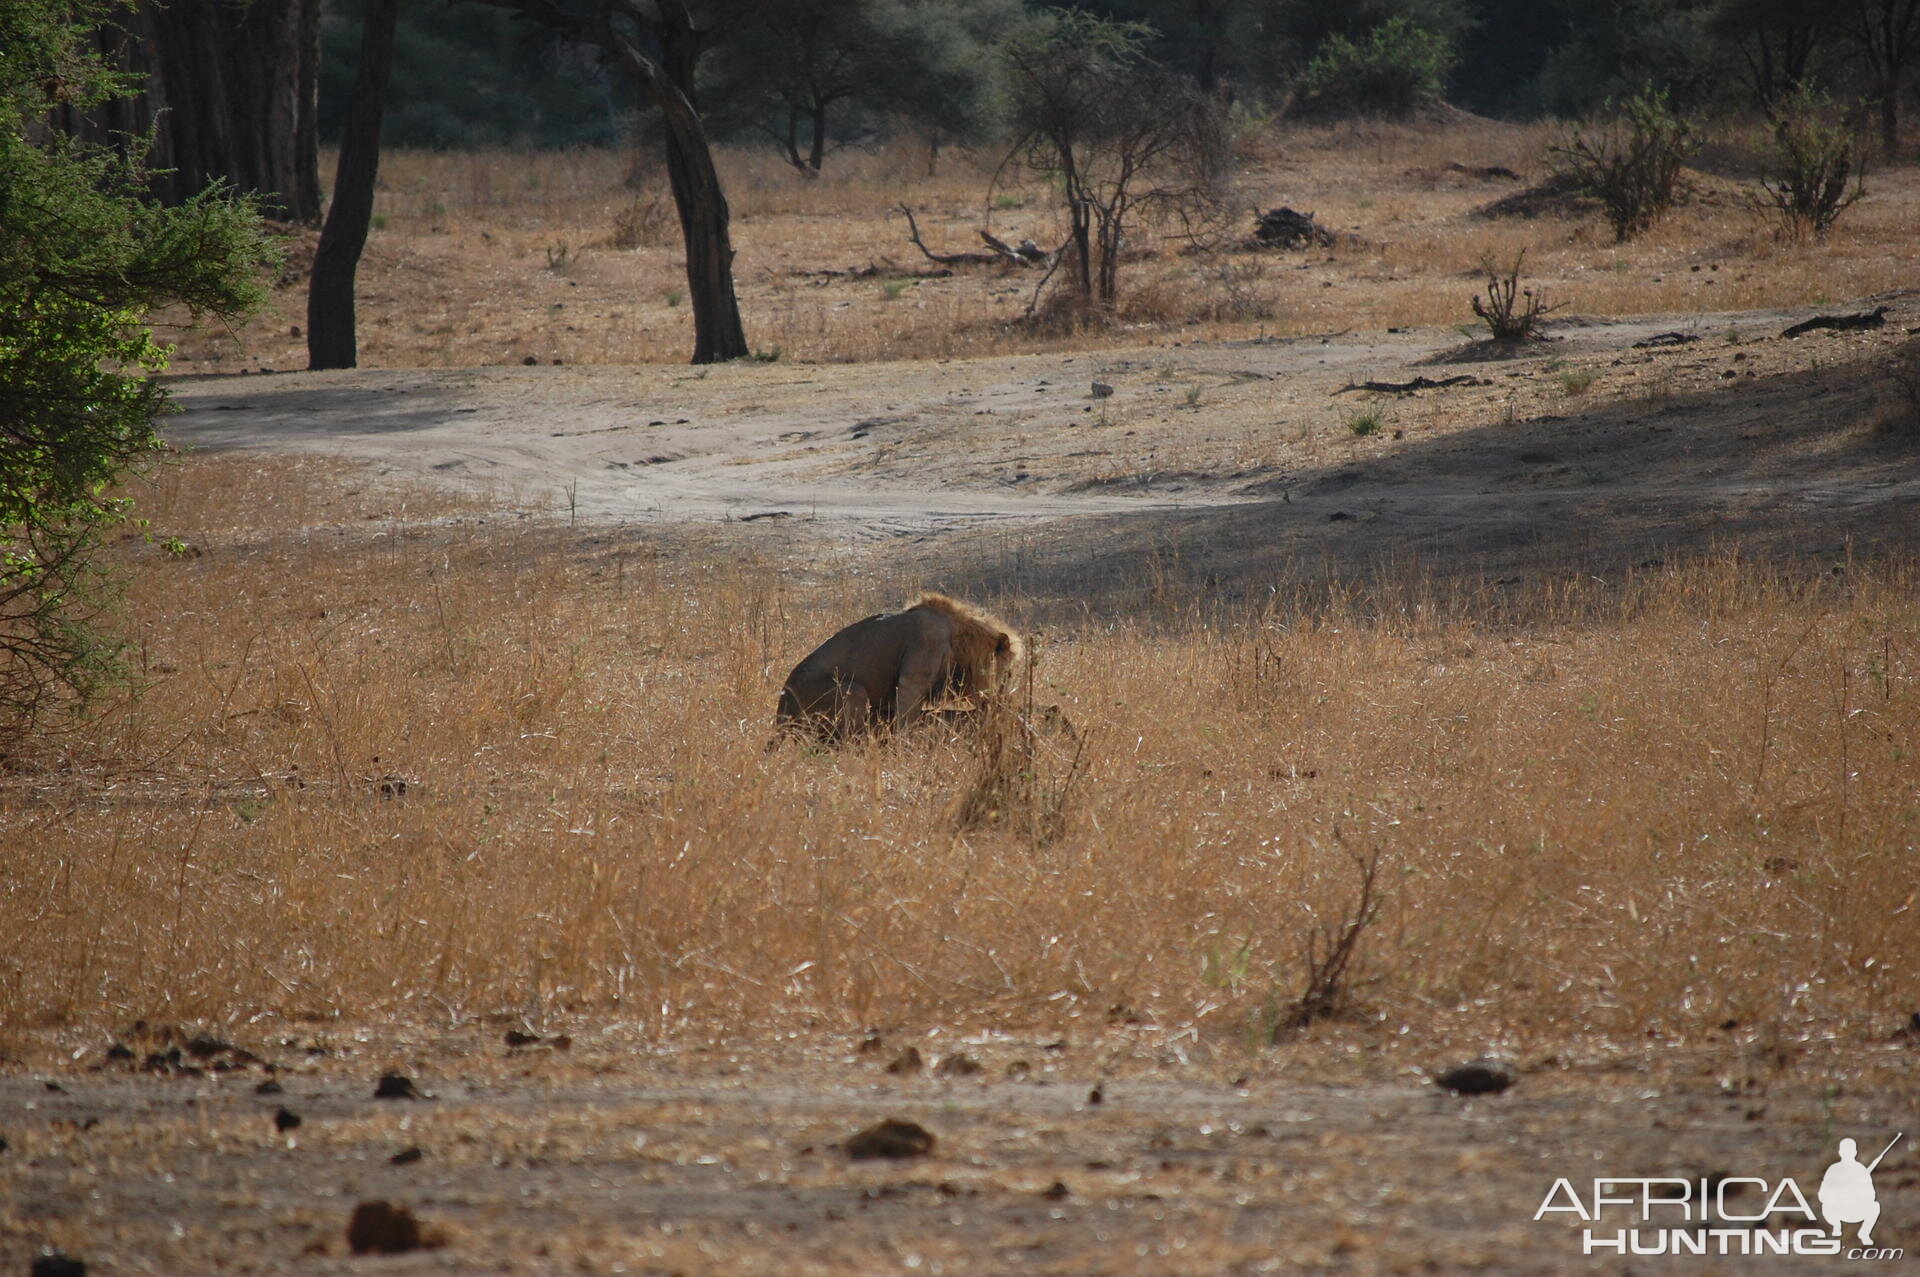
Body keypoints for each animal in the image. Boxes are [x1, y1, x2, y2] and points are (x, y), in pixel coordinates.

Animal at [775, 591, 1029, 741]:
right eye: (1008, 673)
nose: (1002, 695)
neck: (960, 637)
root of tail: (781, 710)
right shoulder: (915, 672)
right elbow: (906, 717)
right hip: (851, 690)